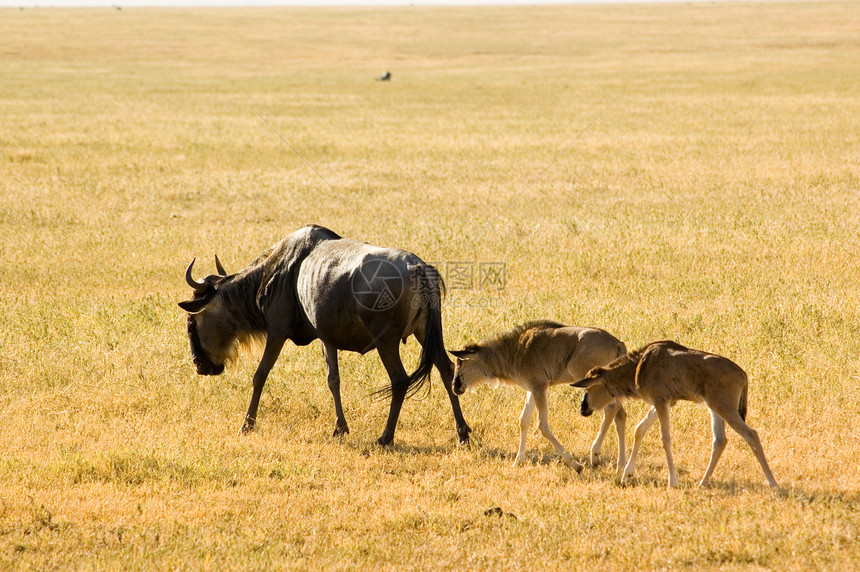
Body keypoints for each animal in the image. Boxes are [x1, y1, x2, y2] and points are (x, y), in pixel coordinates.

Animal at [450, 320, 624, 472]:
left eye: (460, 362)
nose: (454, 386)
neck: (515, 351)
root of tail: (618, 344)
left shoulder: (540, 388)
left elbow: (543, 426)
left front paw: (575, 465)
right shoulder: (532, 389)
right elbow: (524, 420)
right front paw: (518, 461)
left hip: (592, 382)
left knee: (612, 409)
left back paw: (596, 456)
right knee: (620, 413)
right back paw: (618, 464)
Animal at [572, 340, 780, 488]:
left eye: (588, 388)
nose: (583, 408)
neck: (639, 366)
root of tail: (743, 374)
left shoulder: (661, 401)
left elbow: (665, 439)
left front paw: (672, 481)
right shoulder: (664, 402)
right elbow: (639, 430)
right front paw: (627, 475)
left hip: (725, 408)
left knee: (751, 434)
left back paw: (773, 483)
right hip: (715, 408)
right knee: (720, 440)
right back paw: (702, 483)